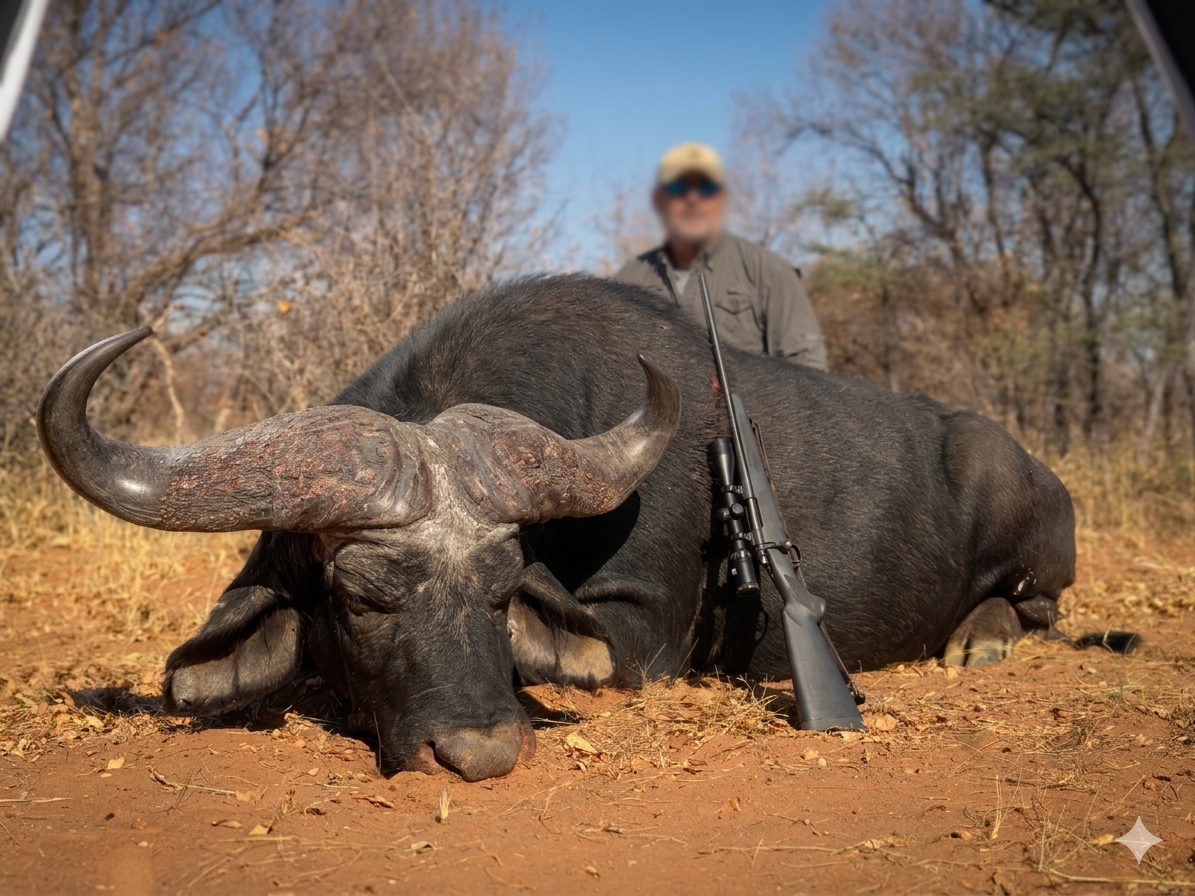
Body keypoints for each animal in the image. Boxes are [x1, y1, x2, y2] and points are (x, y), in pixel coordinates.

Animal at [39, 275, 1092, 782]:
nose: (481, 753)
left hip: (1024, 533)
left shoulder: (642, 629)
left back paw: (981, 641)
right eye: (359, 598)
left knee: (1035, 607)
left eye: (503, 590)